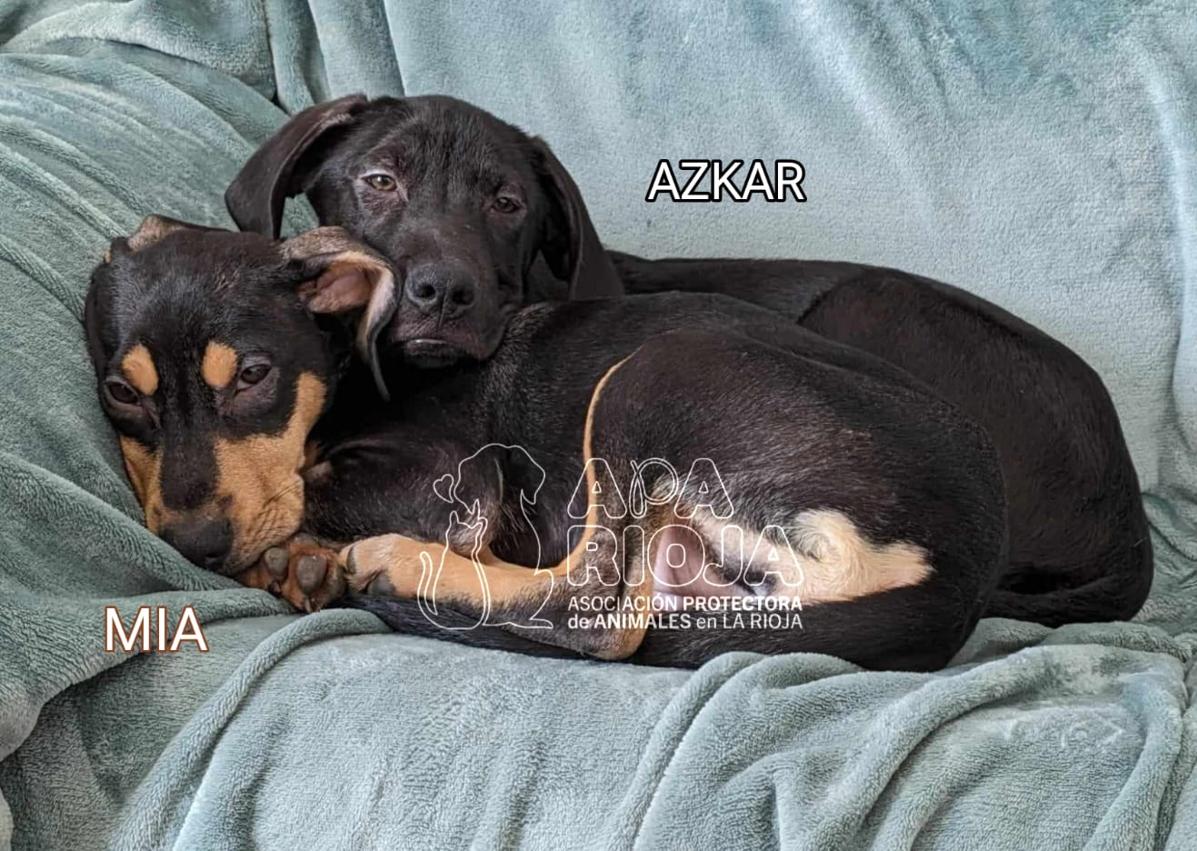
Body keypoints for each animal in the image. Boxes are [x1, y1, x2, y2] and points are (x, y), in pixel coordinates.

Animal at [84, 220, 1010, 670]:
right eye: (121, 393)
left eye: (253, 375)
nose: (195, 545)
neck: (352, 357)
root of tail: (958, 578)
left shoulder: (442, 474)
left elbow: (313, 486)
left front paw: (294, 548)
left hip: (656, 372)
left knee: (595, 607)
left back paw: (392, 562)